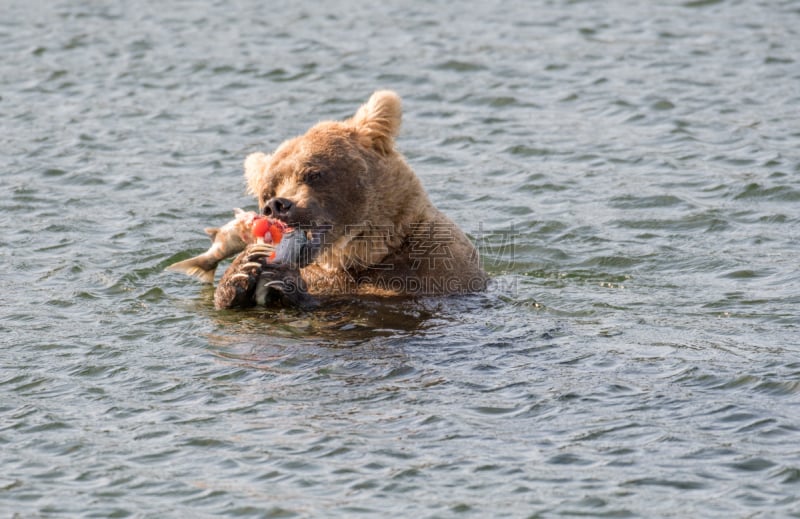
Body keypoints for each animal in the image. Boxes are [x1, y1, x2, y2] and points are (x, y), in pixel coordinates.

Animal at [214, 90, 488, 310]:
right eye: (267, 190)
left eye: (312, 173)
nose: (277, 205)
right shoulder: (321, 274)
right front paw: (242, 268)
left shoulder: (434, 268)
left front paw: (286, 281)